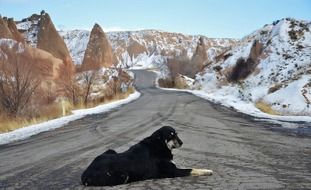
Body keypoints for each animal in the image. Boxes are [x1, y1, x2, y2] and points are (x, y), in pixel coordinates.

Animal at [80, 125, 213, 186]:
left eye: (176, 134)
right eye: (170, 136)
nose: (181, 142)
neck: (159, 144)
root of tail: (85, 174)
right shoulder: (173, 172)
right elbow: (192, 169)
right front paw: (207, 171)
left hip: (110, 150)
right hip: (123, 176)